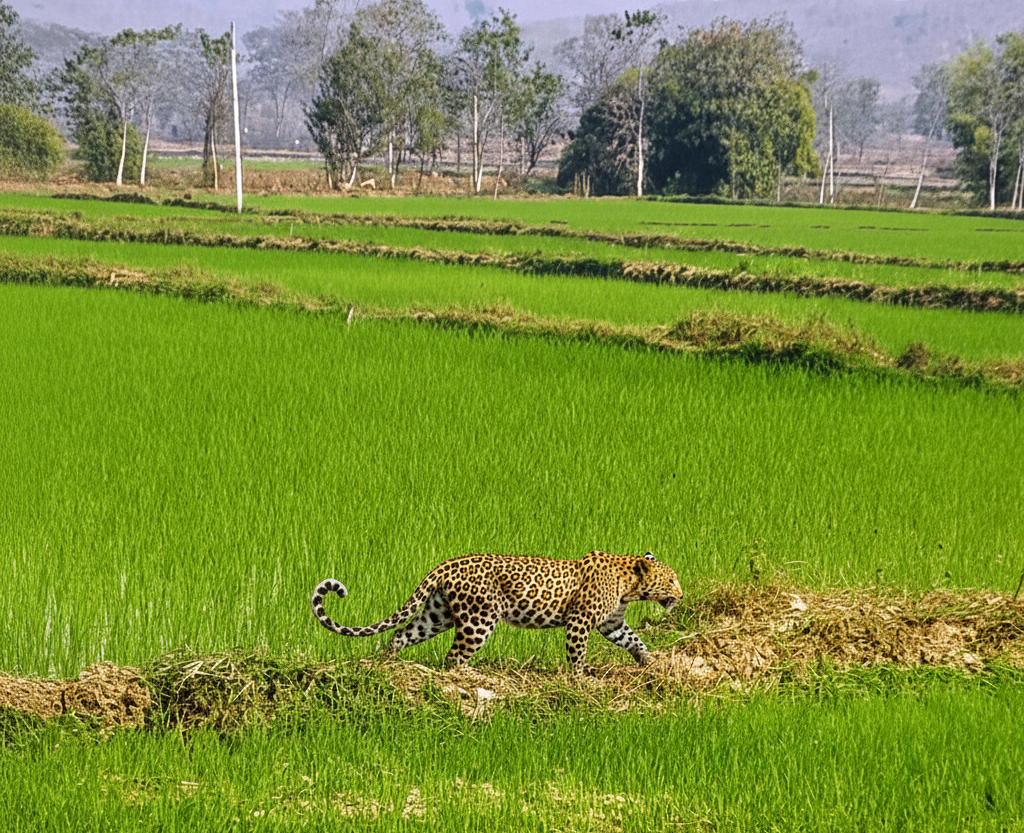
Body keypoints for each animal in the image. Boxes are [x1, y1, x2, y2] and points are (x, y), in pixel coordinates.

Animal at [311, 550, 682, 676]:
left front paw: (650, 663)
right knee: (454, 657)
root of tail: (446, 563)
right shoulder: (579, 622)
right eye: (671, 579)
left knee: (402, 634)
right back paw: (468, 676)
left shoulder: (612, 623)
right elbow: (577, 655)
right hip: (478, 620)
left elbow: (633, 640)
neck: (629, 585)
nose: (680, 594)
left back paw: (386, 663)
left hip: (437, 614)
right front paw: (579, 681)